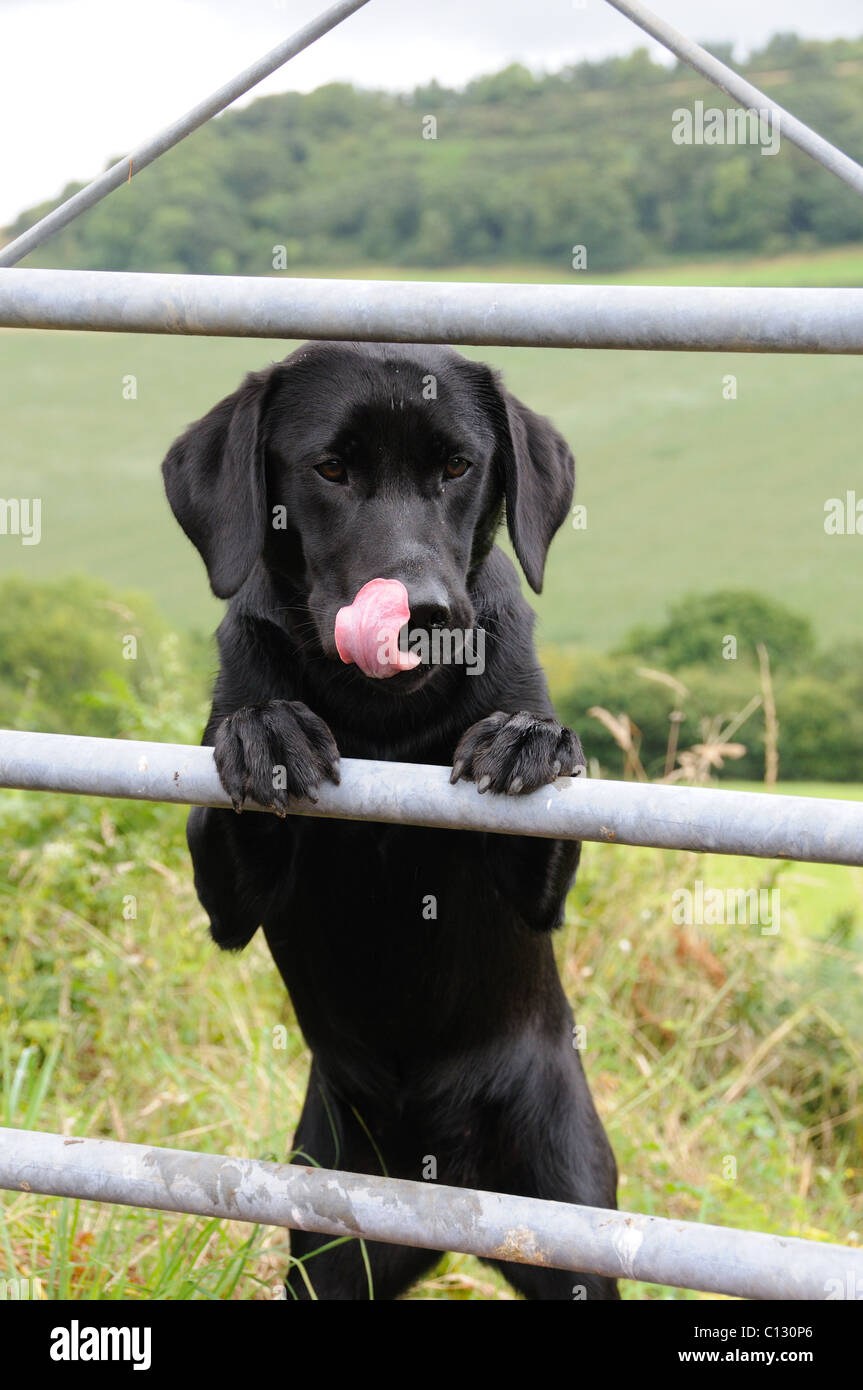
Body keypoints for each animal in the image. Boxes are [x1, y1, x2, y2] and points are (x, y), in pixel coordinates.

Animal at [163, 341, 619, 1295]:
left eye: (457, 467)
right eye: (330, 470)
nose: (425, 613)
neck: (381, 716)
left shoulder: (538, 890)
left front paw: (526, 736)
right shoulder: (228, 903)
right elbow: (229, 793)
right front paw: (266, 728)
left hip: (570, 1228)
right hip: (329, 1253)